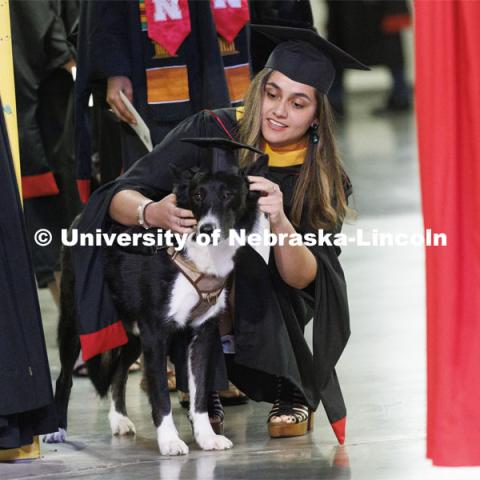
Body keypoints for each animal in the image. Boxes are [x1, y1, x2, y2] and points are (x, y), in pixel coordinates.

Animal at [44, 138, 268, 454]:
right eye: (197, 195)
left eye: (228, 195)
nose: (207, 229)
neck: (197, 254)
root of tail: (79, 217)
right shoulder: (155, 333)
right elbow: (161, 393)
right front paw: (170, 440)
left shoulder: (201, 333)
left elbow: (199, 392)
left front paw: (206, 437)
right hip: (76, 321)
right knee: (64, 378)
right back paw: (57, 429)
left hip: (132, 333)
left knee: (119, 371)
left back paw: (119, 419)